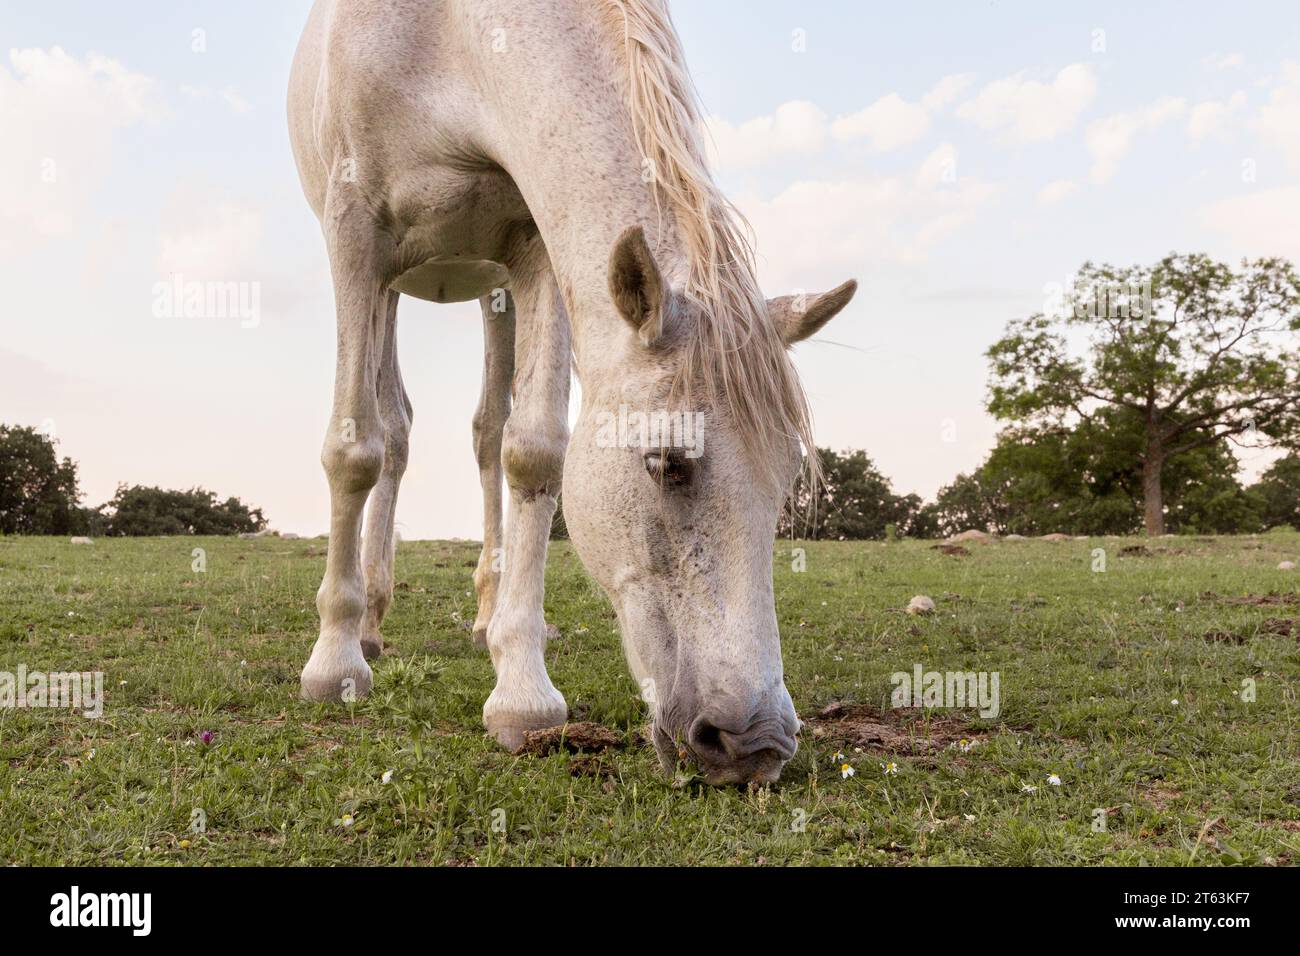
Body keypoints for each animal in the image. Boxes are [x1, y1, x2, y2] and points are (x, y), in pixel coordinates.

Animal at [288, 0, 856, 785]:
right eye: (667, 462)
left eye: (787, 478)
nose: (756, 744)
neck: (446, 39)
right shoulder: (356, 236)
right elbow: (354, 448)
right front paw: (334, 661)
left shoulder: (535, 243)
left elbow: (532, 450)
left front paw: (520, 690)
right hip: (391, 284)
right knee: (391, 429)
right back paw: (369, 623)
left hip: (492, 285)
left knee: (485, 430)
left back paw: (485, 615)